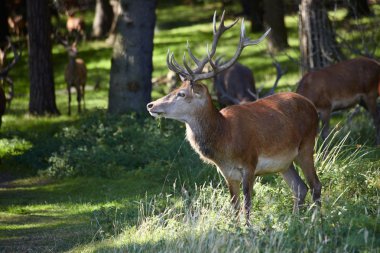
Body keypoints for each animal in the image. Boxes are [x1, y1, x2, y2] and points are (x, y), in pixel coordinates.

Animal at [147, 11, 322, 224]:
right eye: (175, 89)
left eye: (182, 93)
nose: (151, 105)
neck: (225, 138)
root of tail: (311, 105)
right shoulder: (227, 173)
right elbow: (235, 207)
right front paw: (235, 227)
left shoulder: (250, 163)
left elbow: (247, 205)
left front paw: (248, 229)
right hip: (284, 163)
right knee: (300, 188)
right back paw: (296, 221)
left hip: (306, 145)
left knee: (315, 185)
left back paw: (317, 221)